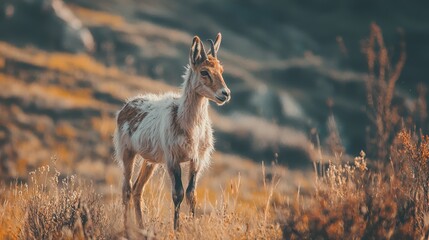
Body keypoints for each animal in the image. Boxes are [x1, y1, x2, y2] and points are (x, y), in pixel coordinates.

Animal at [112, 33, 229, 231]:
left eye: (221, 69)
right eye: (204, 71)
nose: (225, 93)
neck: (190, 128)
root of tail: (125, 107)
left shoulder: (197, 160)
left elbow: (191, 194)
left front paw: (192, 227)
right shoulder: (172, 159)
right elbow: (178, 193)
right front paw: (177, 229)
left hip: (150, 161)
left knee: (137, 189)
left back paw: (142, 228)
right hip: (127, 152)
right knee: (126, 189)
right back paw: (127, 228)